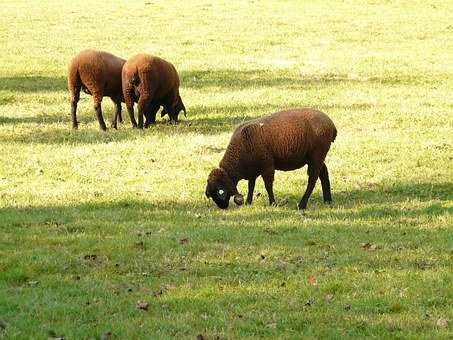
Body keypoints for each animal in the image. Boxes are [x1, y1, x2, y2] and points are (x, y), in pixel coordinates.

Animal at [205, 108, 336, 210]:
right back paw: (328, 200)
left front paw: (273, 203)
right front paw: (248, 202)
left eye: (220, 192)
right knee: (324, 173)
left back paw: (302, 204)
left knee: (312, 179)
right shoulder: (252, 169)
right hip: (316, 157)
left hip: (316, 155)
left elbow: (268, 185)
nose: (223, 207)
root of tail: (331, 124)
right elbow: (251, 185)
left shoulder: (267, 165)